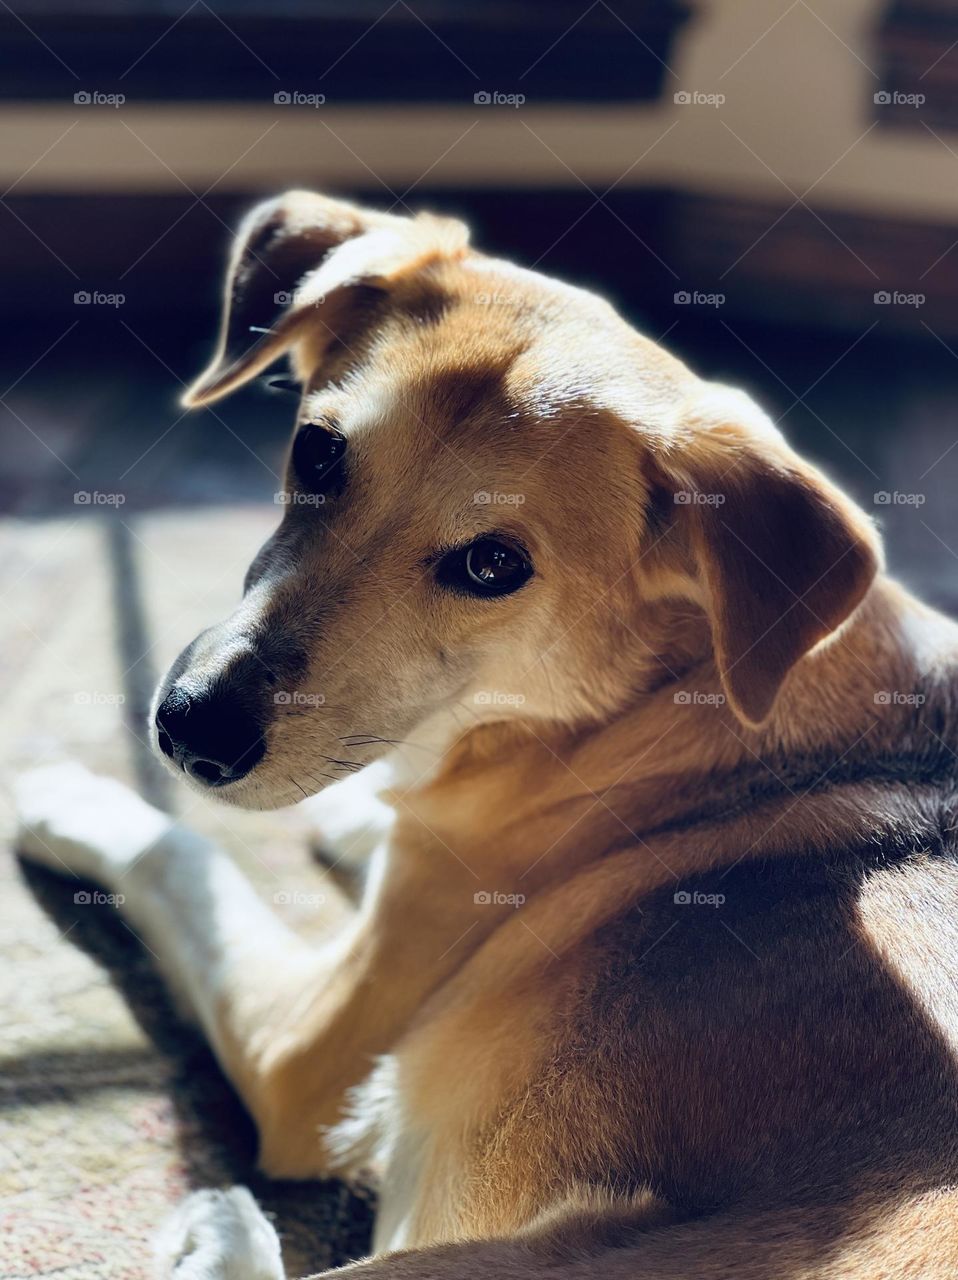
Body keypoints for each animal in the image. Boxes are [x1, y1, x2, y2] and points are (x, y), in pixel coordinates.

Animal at [13, 192, 957, 1280]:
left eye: (494, 565)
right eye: (318, 451)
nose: (189, 728)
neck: (636, 703)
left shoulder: (303, 1053)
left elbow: (181, 856)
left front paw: (67, 795)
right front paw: (356, 811)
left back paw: (217, 1230)